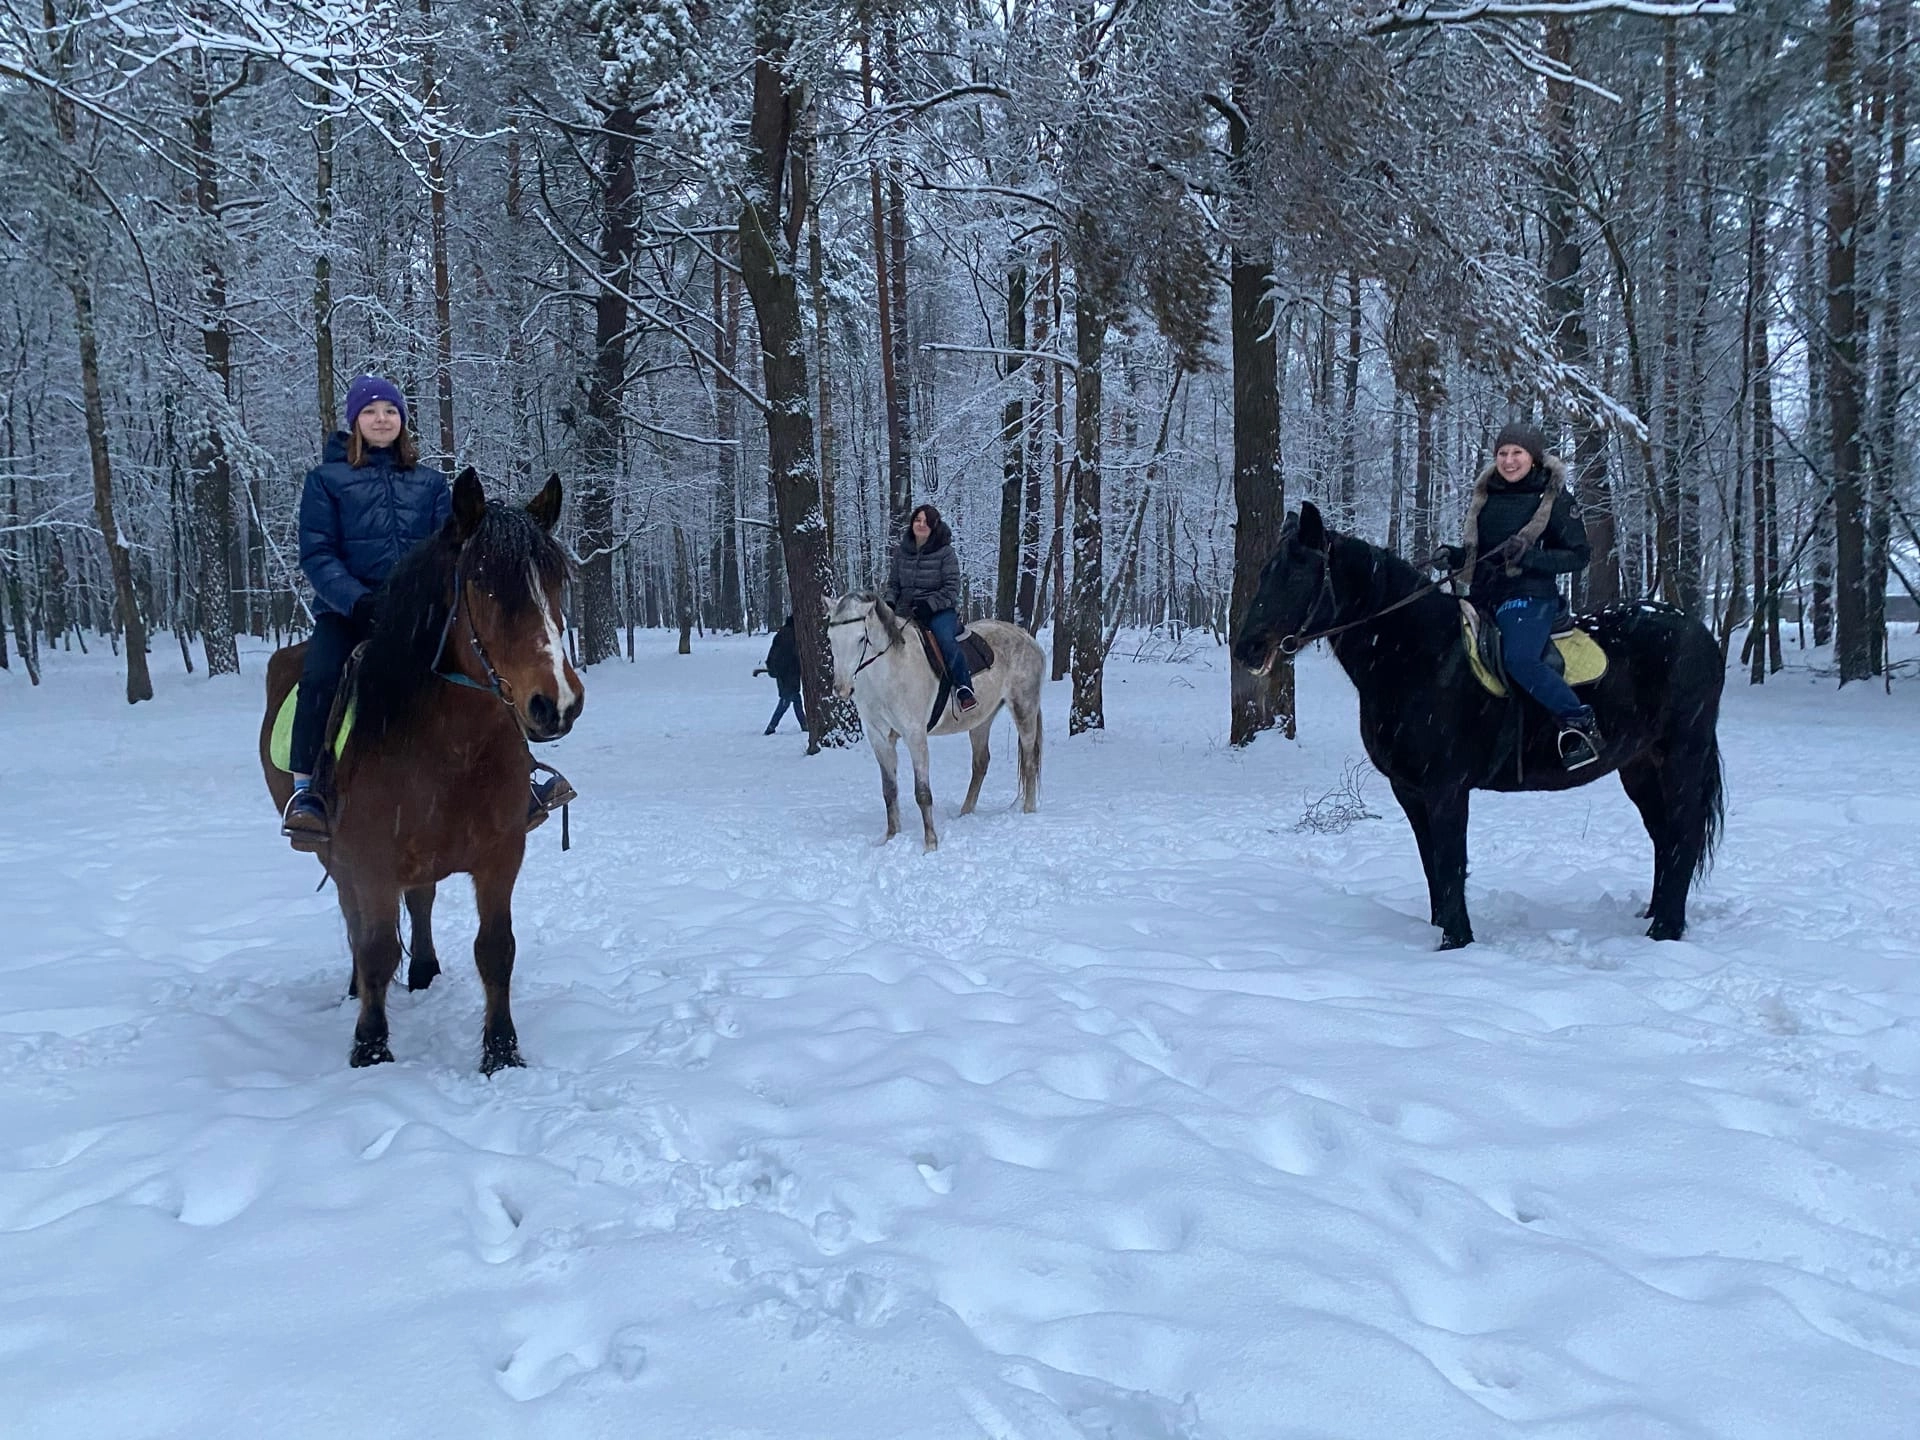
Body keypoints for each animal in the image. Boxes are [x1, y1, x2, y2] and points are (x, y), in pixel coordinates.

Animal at [261, 474, 583, 1075]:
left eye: (558, 582)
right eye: (481, 583)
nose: (556, 703)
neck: (448, 747)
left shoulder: (502, 854)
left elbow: (495, 950)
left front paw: (501, 1051)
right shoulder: (369, 860)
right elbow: (375, 947)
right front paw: (370, 1047)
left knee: (422, 900)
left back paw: (425, 971)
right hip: (332, 853)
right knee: (355, 921)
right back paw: (356, 988)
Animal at [821, 591, 1044, 852]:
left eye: (860, 639)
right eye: (831, 637)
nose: (842, 689)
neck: (889, 672)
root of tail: (1027, 638)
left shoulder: (915, 735)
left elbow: (922, 792)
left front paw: (930, 843)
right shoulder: (880, 738)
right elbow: (889, 790)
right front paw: (891, 836)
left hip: (1024, 708)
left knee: (1029, 760)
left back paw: (1028, 810)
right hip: (981, 721)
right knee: (981, 763)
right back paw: (965, 813)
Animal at [1236, 503, 1735, 952]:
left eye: (1295, 575)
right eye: (1264, 574)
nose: (1246, 648)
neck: (1418, 654)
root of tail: (1700, 632)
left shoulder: (1446, 788)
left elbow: (1451, 863)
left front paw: (1456, 943)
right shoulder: (1410, 791)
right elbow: (1433, 866)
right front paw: (1445, 930)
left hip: (1682, 755)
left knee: (1684, 834)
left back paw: (1665, 931)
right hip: (1640, 765)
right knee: (1665, 837)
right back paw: (1653, 915)